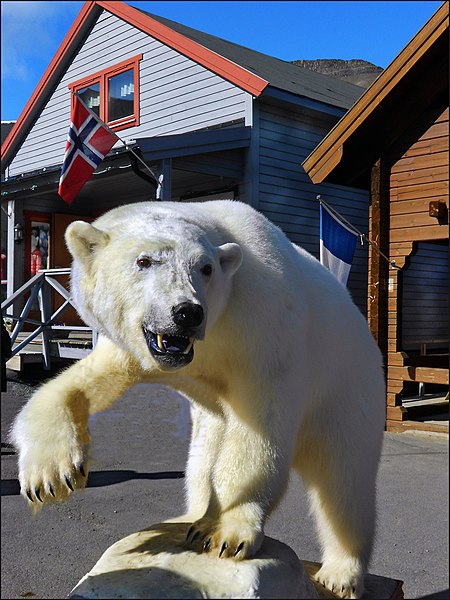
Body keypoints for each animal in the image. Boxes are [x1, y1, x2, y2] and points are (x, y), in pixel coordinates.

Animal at [8, 202, 384, 600]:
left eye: (205, 268)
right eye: (144, 261)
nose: (187, 312)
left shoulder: (264, 324)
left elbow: (259, 426)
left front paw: (226, 533)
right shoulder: (142, 348)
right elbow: (86, 381)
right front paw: (49, 476)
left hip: (346, 392)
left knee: (343, 482)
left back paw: (341, 575)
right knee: (205, 453)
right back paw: (191, 517)